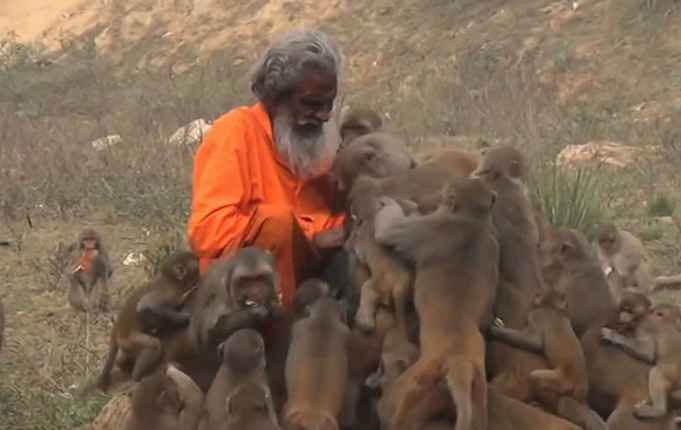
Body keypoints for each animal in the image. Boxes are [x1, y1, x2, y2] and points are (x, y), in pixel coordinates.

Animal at [80, 250, 199, 394]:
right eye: (193, 259)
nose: (197, 257)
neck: (172, 280)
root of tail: (117, 329)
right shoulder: (170, 292)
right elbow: (146, 305)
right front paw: (185, 317)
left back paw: (122, 364)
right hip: (129, 340)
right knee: (152, 345)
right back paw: (138, 376)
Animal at [372, 177, 500, 430]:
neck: (473, 221)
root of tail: (459, 364)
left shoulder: (431, 226)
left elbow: (387, 231)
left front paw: (389, 202)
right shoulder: (493, 245)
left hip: (416, 381)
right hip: (478, 388)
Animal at [488, 288, 604, 430]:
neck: (551, 308)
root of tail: (582, 388)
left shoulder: (537, 315)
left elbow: (533, 341)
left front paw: (497, 330)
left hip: (559, 380)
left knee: (539, 382)